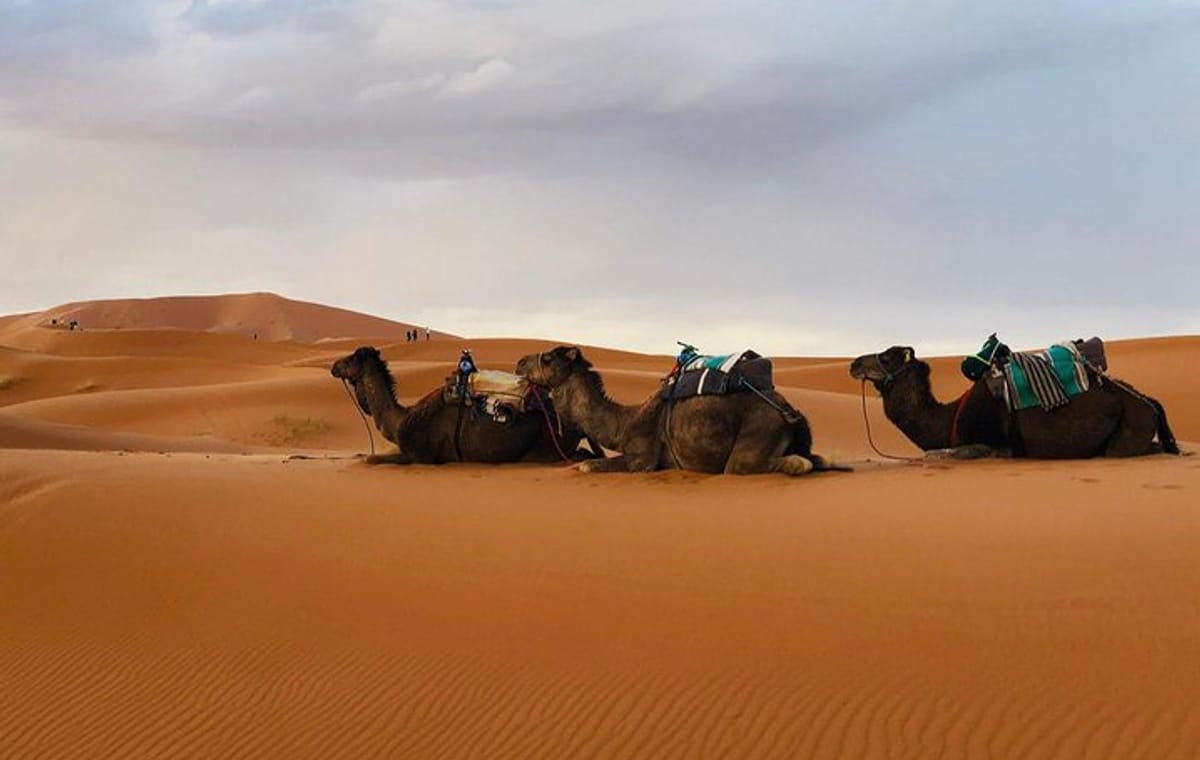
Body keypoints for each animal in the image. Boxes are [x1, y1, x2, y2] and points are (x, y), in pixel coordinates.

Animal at [330, 346, 595, 465]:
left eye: (350, 359)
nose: (333, 366)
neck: (401, 420)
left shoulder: (422, 456)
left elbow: (371, 460)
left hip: (543, 447)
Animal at [516, 345, 842, 475]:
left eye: (547, 358)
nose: (519, 362)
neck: (624, 422)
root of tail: (789, 411)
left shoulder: (642, 458)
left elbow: (587, 465)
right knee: (818, 458)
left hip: (756, 435)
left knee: (785, 463)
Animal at [849, 345, 1180, 459]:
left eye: (887, 356)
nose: (853, 363)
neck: (951, 417)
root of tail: (1149, 402)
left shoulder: (995, 446)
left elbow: (935, 455)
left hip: (1126, 432)